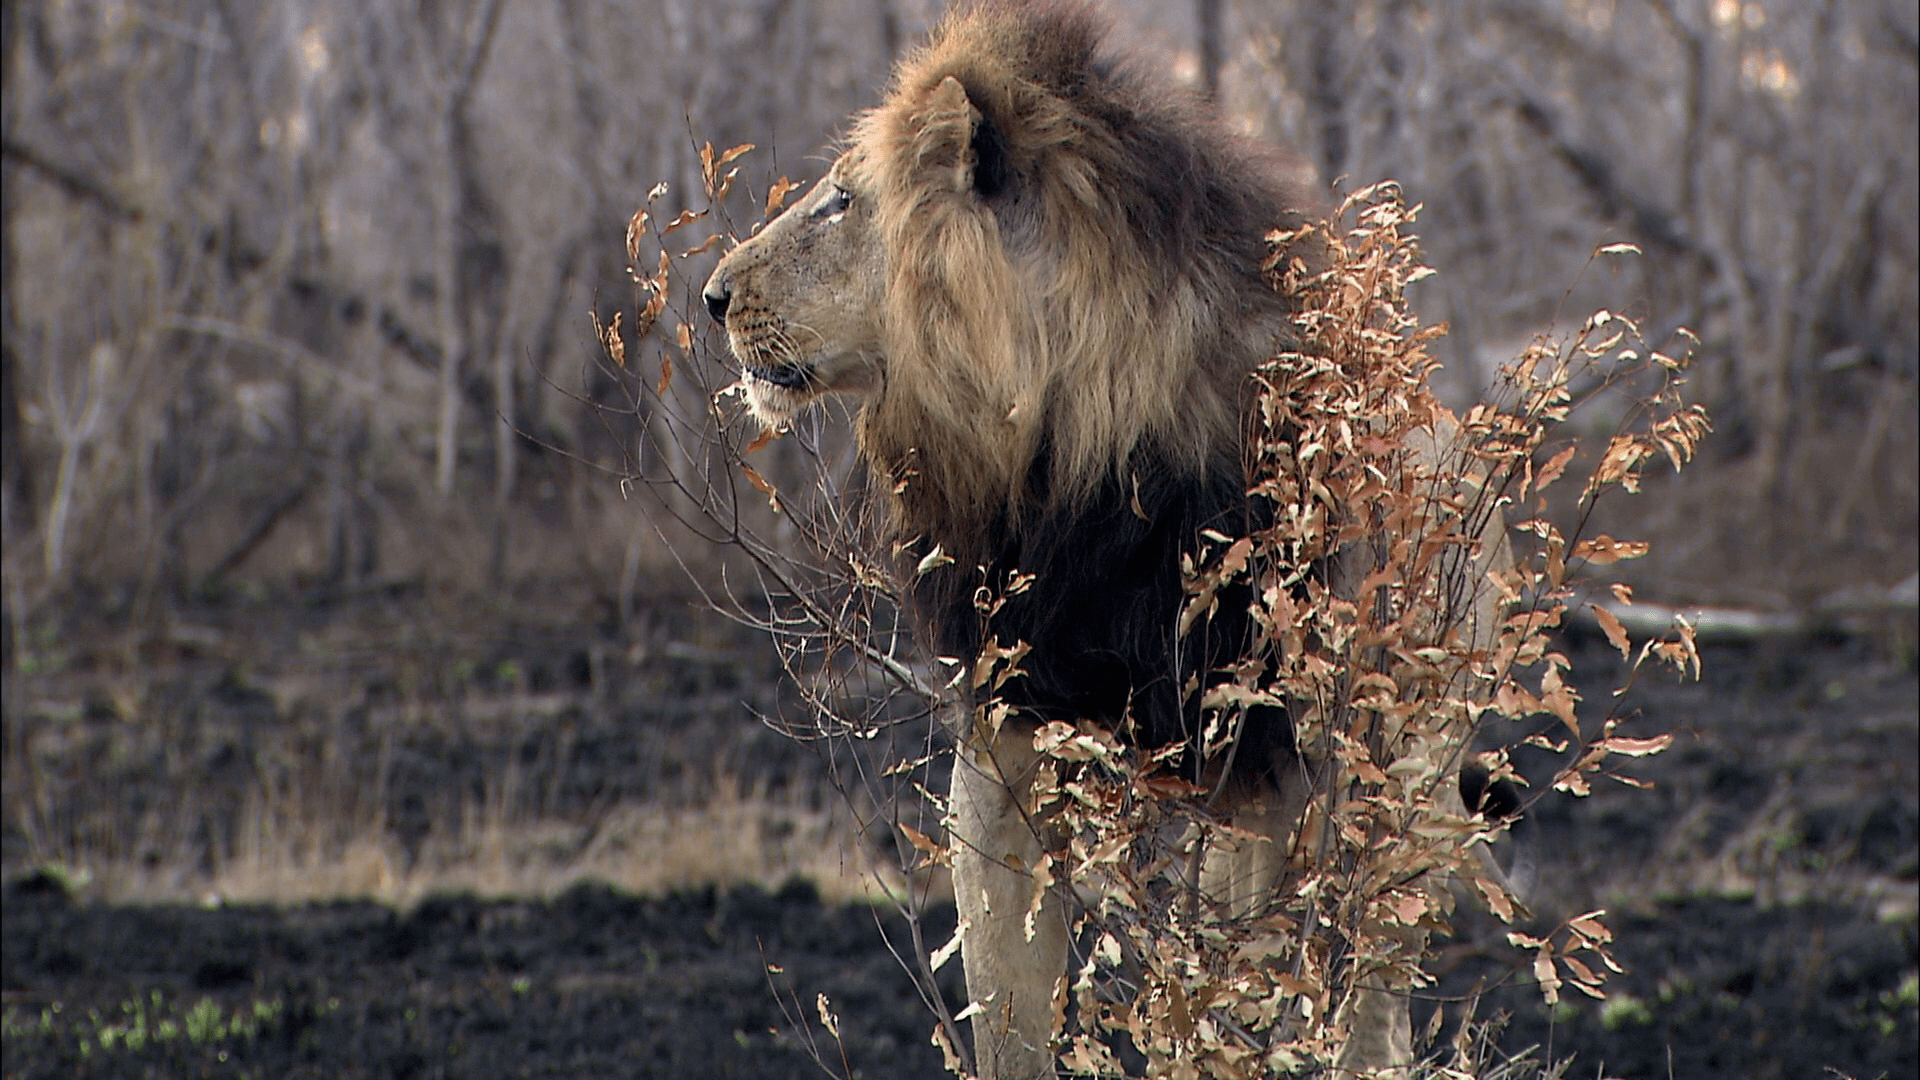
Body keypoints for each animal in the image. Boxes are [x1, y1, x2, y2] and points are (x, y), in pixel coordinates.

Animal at [702, 3, 1514, 1076]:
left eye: (842, 201)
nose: (711, 298)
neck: (1065, 448)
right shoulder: (1006, 742)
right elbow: (1009, 1012)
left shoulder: (1298, 770)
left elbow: (1301, 1007)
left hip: (1397, 781)